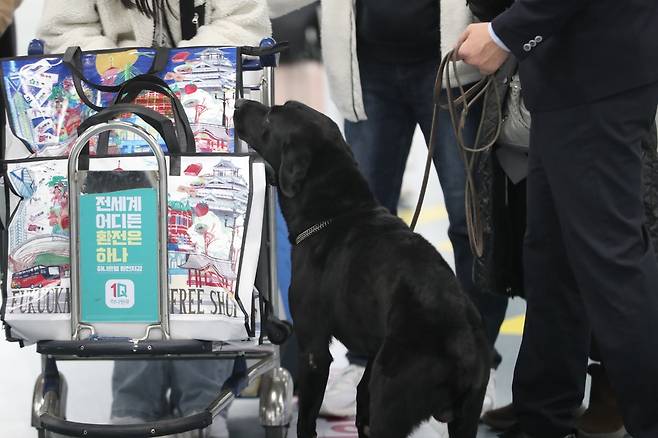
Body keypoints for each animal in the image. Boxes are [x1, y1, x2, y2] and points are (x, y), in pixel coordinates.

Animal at [233, 99, 484, 438]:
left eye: (271, 116)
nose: (238, 103)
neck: (336, 213)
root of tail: (463, 342)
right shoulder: (373, 356)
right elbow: (361, 394)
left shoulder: (313, 349)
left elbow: (306, 419)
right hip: (463, 418)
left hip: (392, 404)